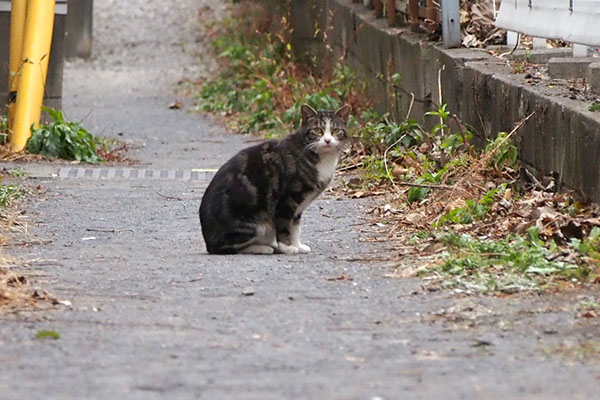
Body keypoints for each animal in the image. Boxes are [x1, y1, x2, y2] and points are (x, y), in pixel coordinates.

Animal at [200, 104, 352, 255]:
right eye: (317, 130)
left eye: (336, 131)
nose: (327, 140)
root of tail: (208, 241)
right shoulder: (287, 200)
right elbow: (284, 226)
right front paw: (288, 247)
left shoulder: (298, 208)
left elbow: (295, 227)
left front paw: (298, 245)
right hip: (252, 224)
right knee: (227, 247)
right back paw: (263, 248)